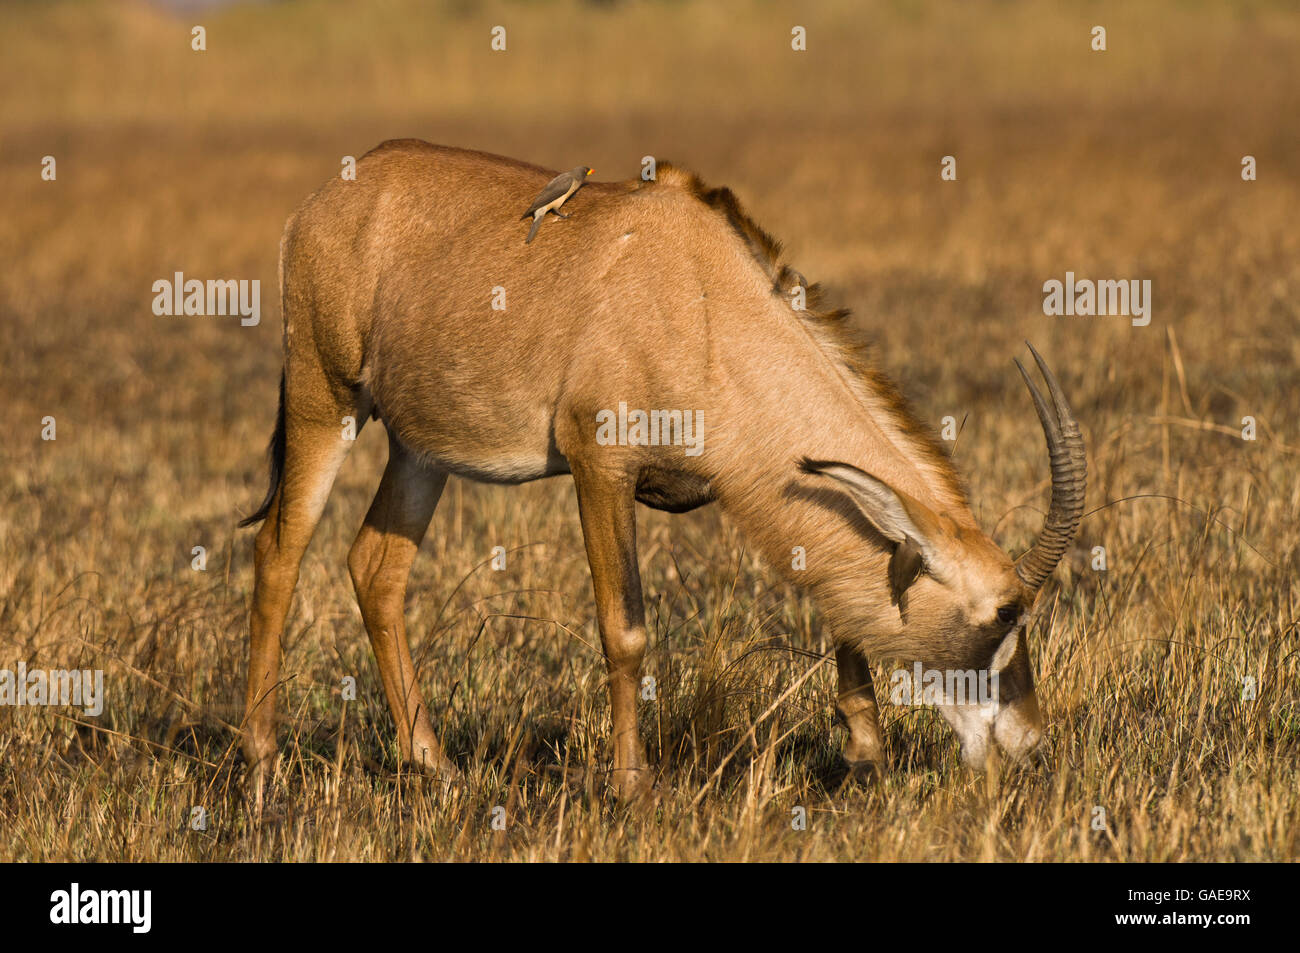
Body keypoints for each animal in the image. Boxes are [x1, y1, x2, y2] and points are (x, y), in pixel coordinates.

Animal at [236, 139, 1086, 795]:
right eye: (1003, 614)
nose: (1030, 744)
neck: (702, 297)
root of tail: (325, 201)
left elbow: (834, 590)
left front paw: (864, 754)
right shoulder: (599, 465)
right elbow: (627, 629)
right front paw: (632, 786)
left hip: (421, 449)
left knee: (375, 566)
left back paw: (435, 764)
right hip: (325, 399)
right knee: (280, 550)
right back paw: (263, 764)